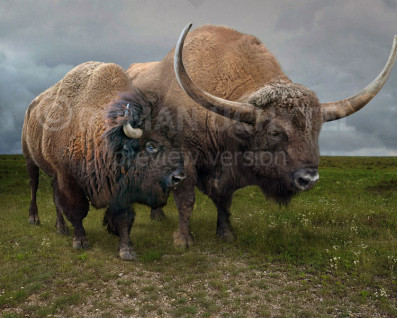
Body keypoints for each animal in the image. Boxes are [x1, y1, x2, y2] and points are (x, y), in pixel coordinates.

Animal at [23, 61, 187, 262]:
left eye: (175, 143)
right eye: (150, 146)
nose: (178, 177)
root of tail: (30, 109)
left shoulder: (120, 189)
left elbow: (123, 217)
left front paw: (126, 250)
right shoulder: (68, 179)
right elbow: (76, 209)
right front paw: (80, 241)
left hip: (53, 176)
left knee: (55, 199)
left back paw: (61, 227)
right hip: (30, 160)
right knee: (34, 186)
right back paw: (34, 219)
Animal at [126, 23, 394, 249]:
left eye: (315, 130)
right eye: (275, 132)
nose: (308, 179)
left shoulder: (227, 174)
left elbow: (224, 201)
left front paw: (227, 234)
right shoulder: (185, 160)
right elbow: (186, 199)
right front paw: (183, 240)